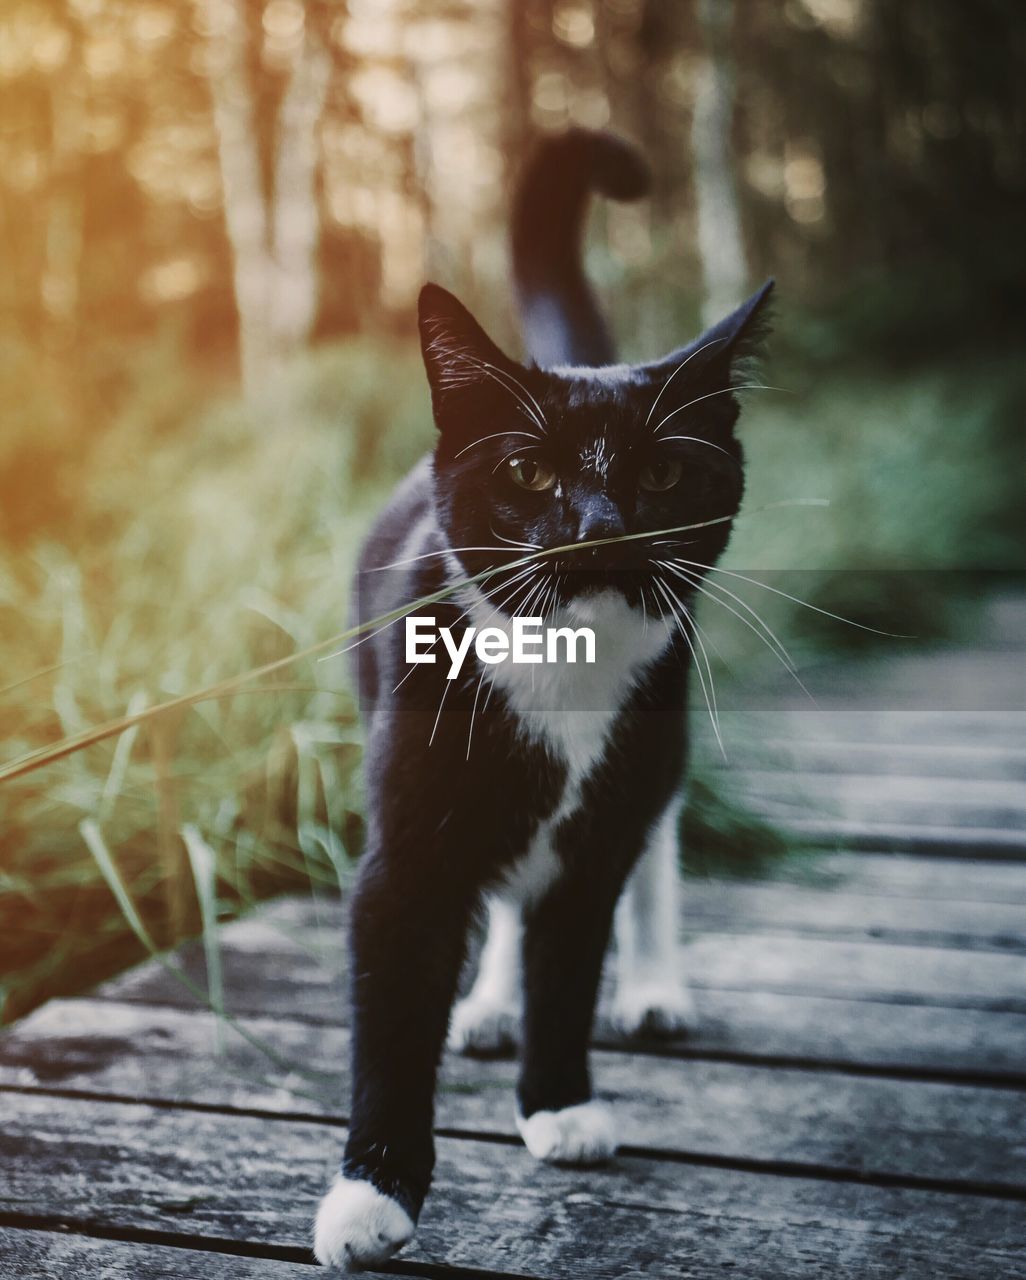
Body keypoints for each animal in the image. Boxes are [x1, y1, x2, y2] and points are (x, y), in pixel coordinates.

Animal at [312, 129, 767, 1269]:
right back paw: (485, 1004)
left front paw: (562, 1102)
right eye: (528, 471)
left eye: (662, 475)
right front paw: (370, 1193)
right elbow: (396, 1001)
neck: (564, 669)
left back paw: (653, 987)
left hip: (652, 747)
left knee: (650, 843)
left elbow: (574, 949)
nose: (601, 524)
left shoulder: (609, 803)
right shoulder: (406, 846)